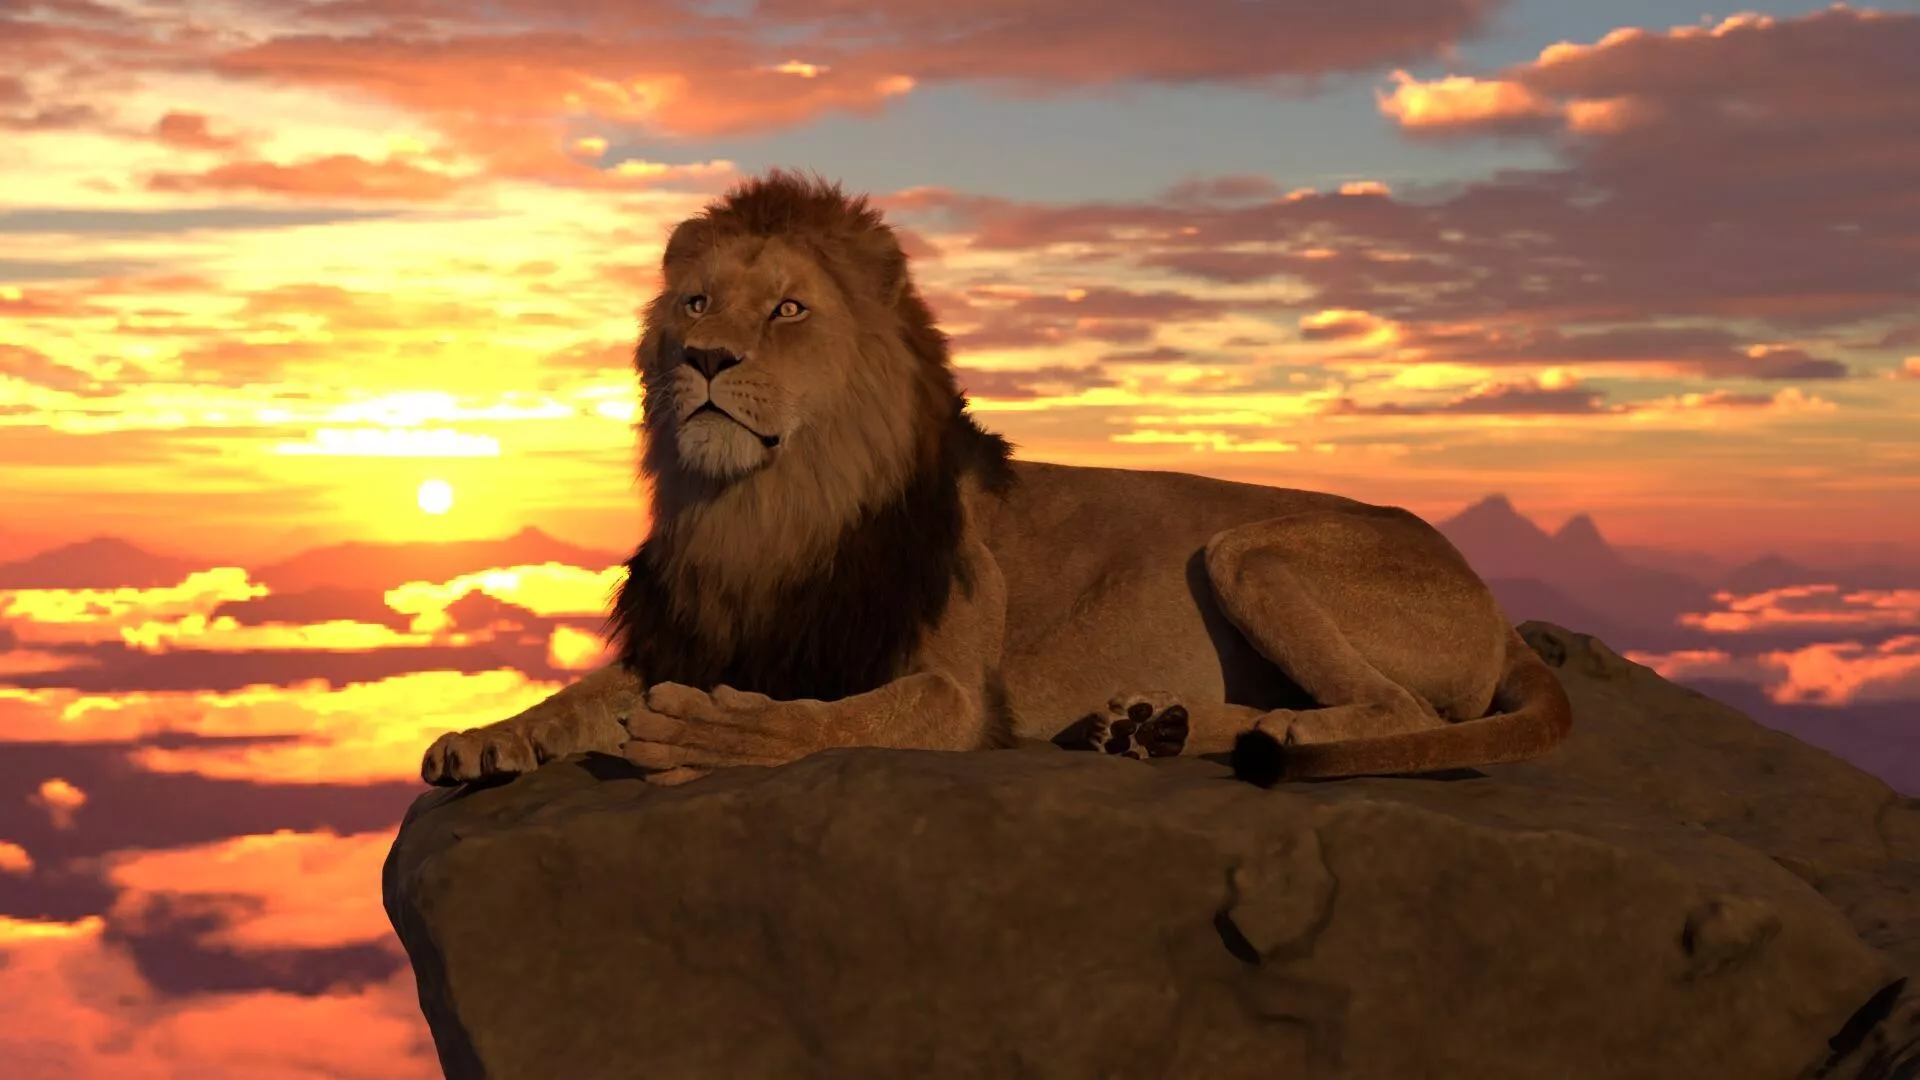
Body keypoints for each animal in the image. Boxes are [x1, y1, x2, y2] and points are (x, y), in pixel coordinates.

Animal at [420, 171, 1572, 790]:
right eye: (695, 304)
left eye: (787, 310)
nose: (703, 360)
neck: (770, 506)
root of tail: (1491, 600)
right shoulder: (719, 631)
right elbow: (583, 691)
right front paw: (484, 737)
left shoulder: (956, 693)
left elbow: (825, 721)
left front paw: (710, 732)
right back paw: (1141, 729)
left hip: (1248, 548)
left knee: (1395, 707)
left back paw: (1257, 732)